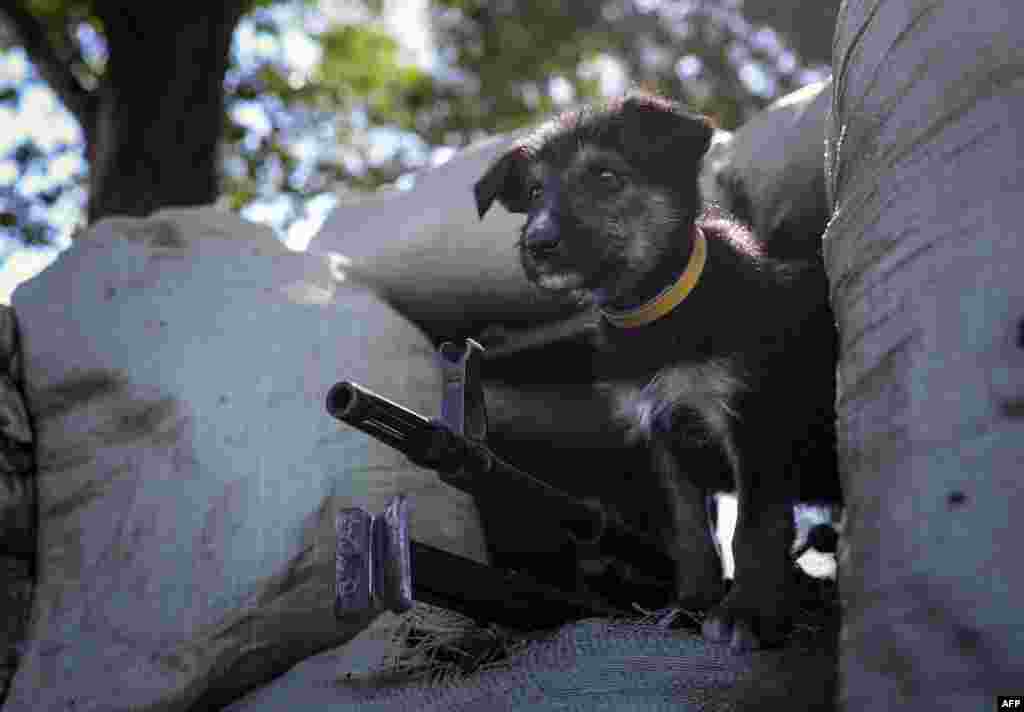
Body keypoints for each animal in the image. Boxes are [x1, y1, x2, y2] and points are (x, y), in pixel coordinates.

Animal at [475, 94, 835, 651]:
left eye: (606, 177)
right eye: (534, 192)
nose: (538, 243)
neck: (654, 314)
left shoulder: (754, 422)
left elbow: (753, 529)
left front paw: (748, 614)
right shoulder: (663, 436)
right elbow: (691, 534)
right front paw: (692, 605)